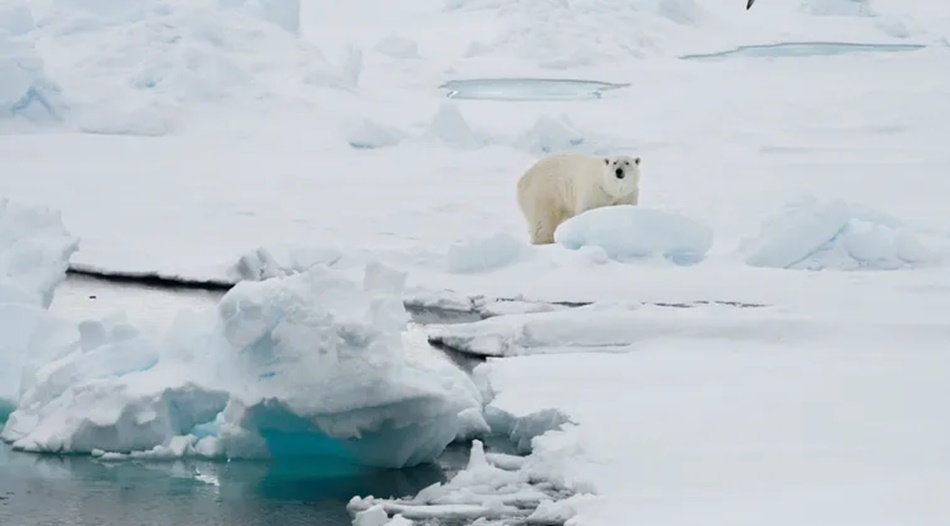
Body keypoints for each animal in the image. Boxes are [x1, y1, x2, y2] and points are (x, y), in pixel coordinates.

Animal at [516, 151, 644, 245]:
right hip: (544, 192)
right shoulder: (594, 191)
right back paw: (544, 241)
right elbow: (586, 210)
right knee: (542, 221)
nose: (619, 171)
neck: (608, 187)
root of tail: (523, 179)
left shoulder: (628, 195)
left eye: (627, 163)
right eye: (614, 163)